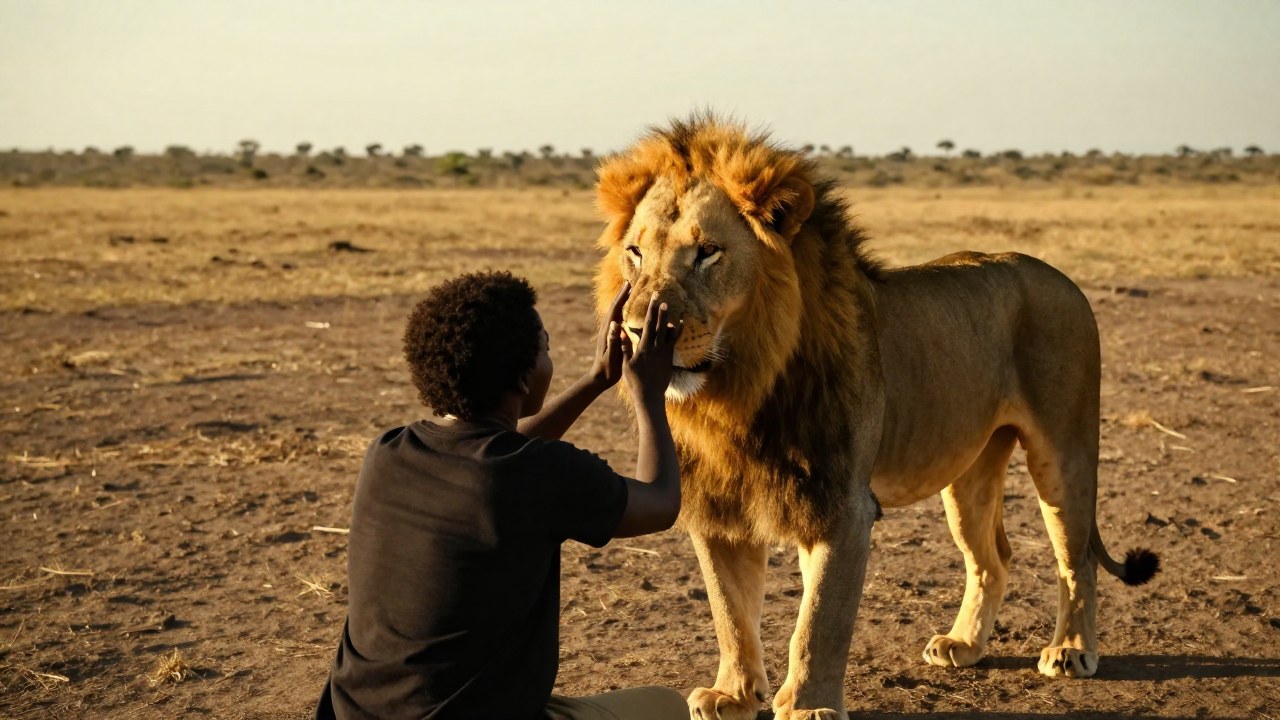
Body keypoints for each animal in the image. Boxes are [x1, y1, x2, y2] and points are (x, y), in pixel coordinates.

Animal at [592, 114, 1158, 720]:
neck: (737, 395)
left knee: (1077, 557)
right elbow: (730, 612)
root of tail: (1063, 278)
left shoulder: (842, 505)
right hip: (969, 470)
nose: (634, 332)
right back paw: (964, 644)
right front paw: (734, 694)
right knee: (993, 557)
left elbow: (819, 621)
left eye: (707, 253)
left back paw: (1070, 650)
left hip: (1064, 450)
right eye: (635, 253)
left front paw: (808, 706)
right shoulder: (720, 507)